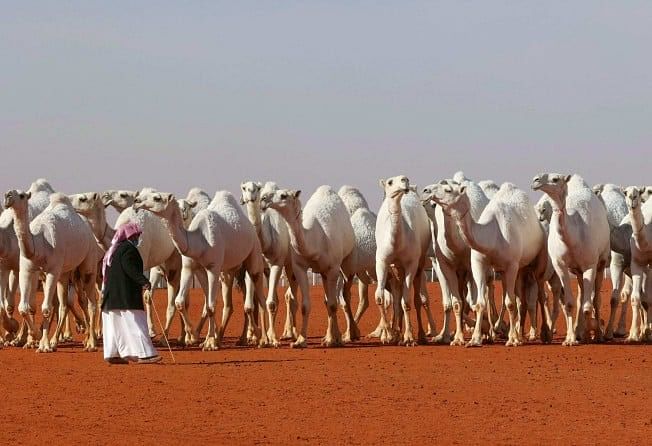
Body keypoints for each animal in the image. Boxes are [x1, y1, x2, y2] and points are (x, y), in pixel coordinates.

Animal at [4, 191, 100, 352]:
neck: (39, 244)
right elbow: (23, 308)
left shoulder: (53, 271)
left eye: (22, 195)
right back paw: (58, 340)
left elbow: (46, 308)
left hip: (89, 263)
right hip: (66, 273)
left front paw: (44, 345)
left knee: (91, 302)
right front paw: (37, 338)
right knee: (64, 304)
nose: (7, 196)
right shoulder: (26, 269)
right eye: (10, 193)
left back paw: (91, 342)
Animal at [136, 188, 272, 348]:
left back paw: (263, 339)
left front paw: (209, 342)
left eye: (157, 198)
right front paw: (196, 336)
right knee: (230, 301)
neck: (198, 241)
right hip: (230, 270)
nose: (137, 201)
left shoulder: (213, 268)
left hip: (254, 254)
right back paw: (230, 337)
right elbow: (182, 302)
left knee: (260, 296)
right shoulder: (190, 268)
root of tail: (251, 227)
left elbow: (211, 306)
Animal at [241, 181, 300, 342]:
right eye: (244, 188)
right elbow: (250, 306)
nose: (252, 196)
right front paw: (256, 336)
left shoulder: (276, 264)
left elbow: (271, 303)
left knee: (290, 297)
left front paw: (272, 337)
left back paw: (291, 333)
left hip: (290, 264)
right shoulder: (253, 268)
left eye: (257, 188)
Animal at [262, 185, 360, 348]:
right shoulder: (299, 267)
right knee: (328, 299)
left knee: (340, 297)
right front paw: (300, 341)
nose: (263, 199)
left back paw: (343, 336)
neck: (315, 241)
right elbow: (306, 306)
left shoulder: (333, 268)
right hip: (322, 272)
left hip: (344, 263)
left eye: (283, 195)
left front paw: (331, 341)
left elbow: (333, 304)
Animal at [532, 173, 608, 344]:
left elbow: (588, 306)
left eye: (555, 179)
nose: (535, 180)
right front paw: (570, 338)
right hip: (577, 270)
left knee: (596, 299)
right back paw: (579, 331)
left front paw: (587, 335)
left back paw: (598, 335)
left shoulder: (590, 264)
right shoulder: (560, 266)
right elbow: (569, 303)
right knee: (581, 296)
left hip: (601, 262)